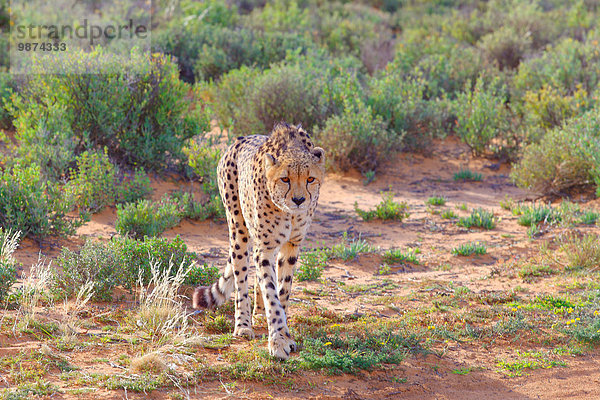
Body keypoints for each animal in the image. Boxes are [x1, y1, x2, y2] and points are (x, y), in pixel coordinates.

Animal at [191, 122, 324, 360]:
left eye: (310, 179)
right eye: (285, 179)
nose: (299, 200)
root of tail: (239, 140)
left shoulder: (291, 245)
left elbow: (282, 290)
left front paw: (283, 331)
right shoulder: (265, 247)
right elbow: (271, 292)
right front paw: (278, 339)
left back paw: (260, 313)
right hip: (238, 229)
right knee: (241, 279)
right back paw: (243, 325)